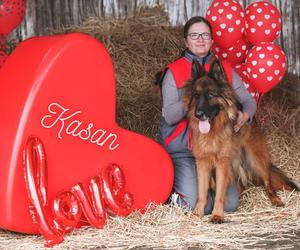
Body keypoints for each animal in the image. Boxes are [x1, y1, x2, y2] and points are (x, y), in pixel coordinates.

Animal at [182, 58, 298, 223]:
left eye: (210, 95)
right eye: (196, 95)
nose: (198, 114)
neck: (214, 131)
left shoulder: (222, 163)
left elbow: (219, 194)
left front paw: (217, 215)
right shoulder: (202, 162)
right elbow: (202, 192)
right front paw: (198, 213)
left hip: (256, 159)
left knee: (268, 183)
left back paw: (276, 200)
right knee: (241, 185)